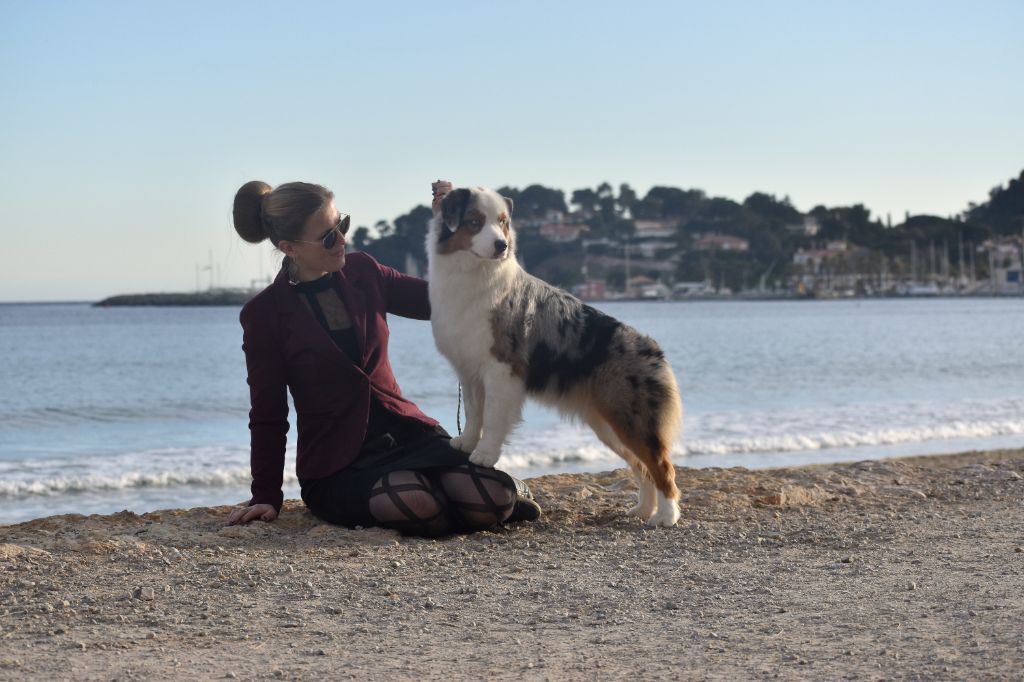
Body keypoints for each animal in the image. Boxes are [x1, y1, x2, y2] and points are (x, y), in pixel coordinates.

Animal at [428, 186, 684, 524]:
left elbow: (493, 417)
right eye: (474, 221)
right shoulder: (469, 370)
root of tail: (654, 351)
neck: (474, 273)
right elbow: (473, 413)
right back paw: (643, 509)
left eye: (503, 223)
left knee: (661, 467)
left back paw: (666, 516)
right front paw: (466, 443)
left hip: (633, 419)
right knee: (642, 468)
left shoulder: (501, 369)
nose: (501, 246)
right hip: (610, 424)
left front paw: (484, 455)